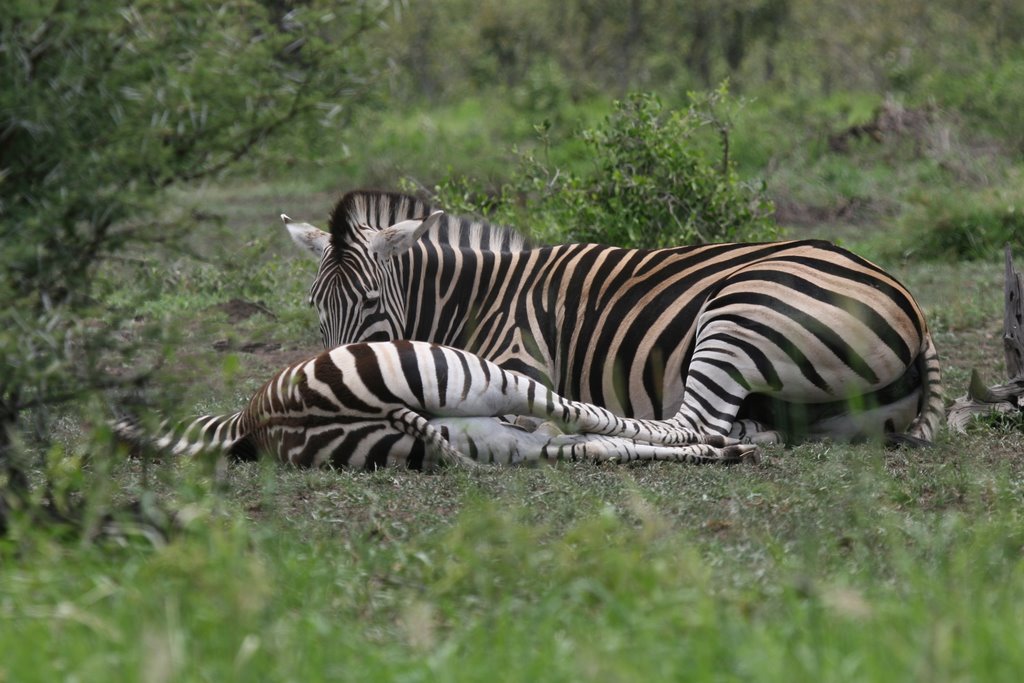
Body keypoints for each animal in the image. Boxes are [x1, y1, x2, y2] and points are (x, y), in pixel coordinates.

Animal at [282, 189, 942, 446]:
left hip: (738, 313)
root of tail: (911, 305)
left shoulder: (522, 356)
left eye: (371, 302)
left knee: (691, 426)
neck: (475, 299)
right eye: (316, 305)